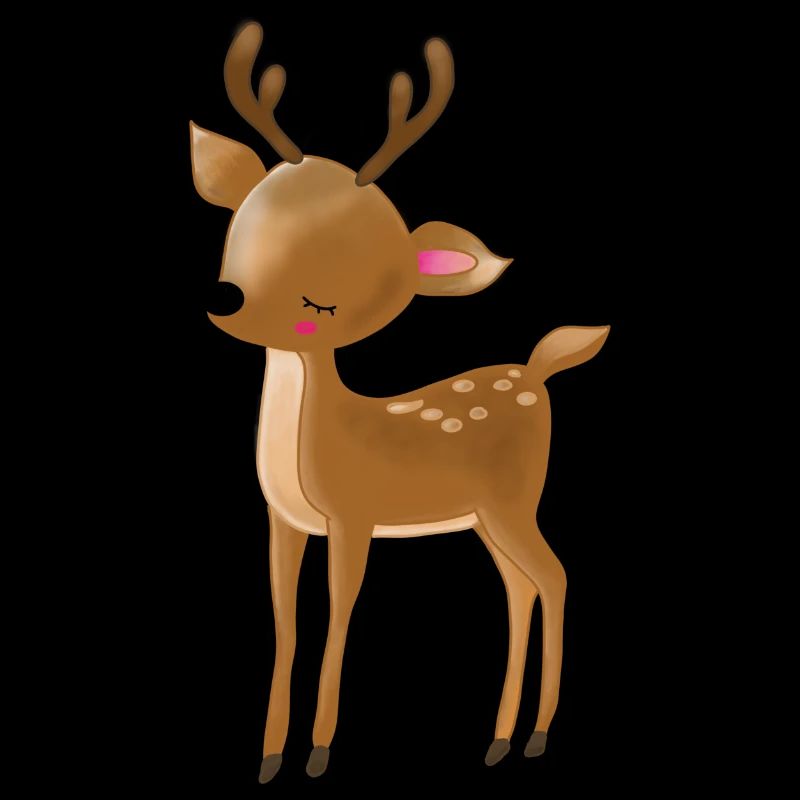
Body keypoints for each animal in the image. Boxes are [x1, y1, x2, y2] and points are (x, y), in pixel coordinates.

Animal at [190, 22, 609, 784]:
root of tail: (538, 371)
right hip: (484, 517)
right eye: (241, 231)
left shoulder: (353, 517)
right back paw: (499, 739)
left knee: (556, 575)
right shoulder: (282, 519)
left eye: (323, 299)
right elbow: (285, 623)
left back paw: (535, 735)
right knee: (520, 586)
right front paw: (268, 755)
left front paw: (318, 752)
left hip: (514, 499)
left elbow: (338, 618)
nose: (227, 298)